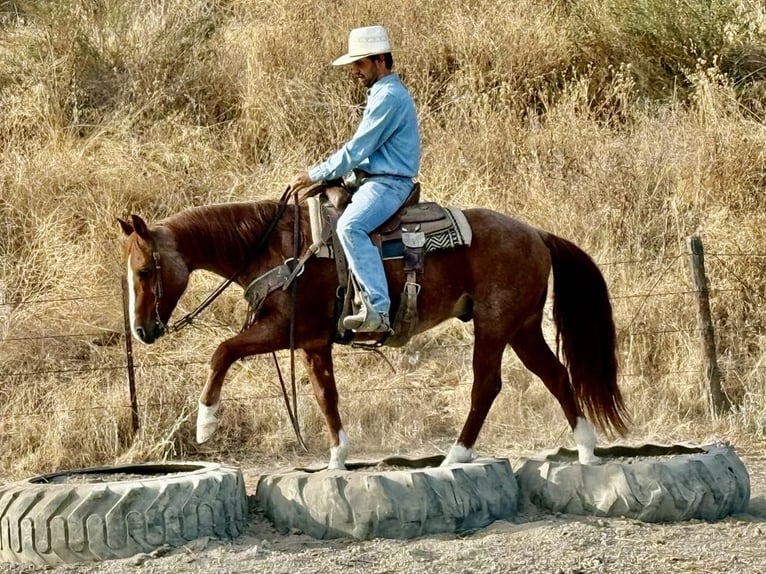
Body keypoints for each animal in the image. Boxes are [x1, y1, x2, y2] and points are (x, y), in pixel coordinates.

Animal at [118, 197, 628, 469]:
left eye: (143, 271)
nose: (142, 330)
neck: (276, 248)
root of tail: (536, 234)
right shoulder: (312, 342)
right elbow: (326, 397)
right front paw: (337, 458)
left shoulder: (280, 330)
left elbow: (222, 351)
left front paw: (206, 424)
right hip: (522, 328)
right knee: (556, 376)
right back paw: (586, 450)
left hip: (495, 325)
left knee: (487, 385)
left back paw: (455, 456)